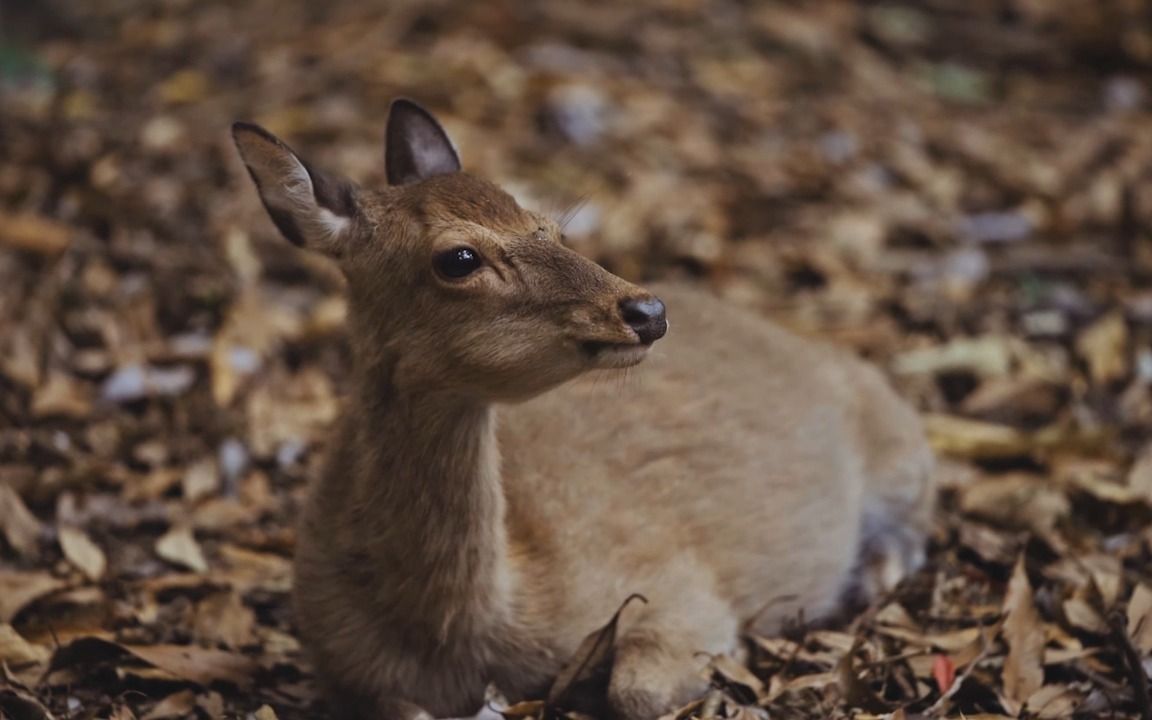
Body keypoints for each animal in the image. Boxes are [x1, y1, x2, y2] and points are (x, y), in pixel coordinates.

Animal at [233, 99, 935, 718]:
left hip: (899, 442)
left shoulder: (682, 591)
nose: (647, 310)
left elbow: (638, 690)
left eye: (551, 226)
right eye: (458, 258)